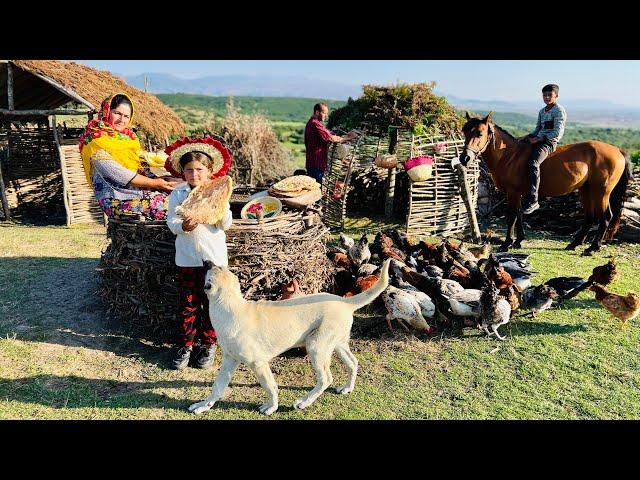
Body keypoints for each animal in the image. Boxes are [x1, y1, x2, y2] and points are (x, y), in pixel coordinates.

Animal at [188, 256, 392, 414]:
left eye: (211, 269)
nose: (205, 260)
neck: (230, 306)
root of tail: (344, 302)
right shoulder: (230, 360)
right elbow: (217, 386)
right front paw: (204, 405)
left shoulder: (258, 363)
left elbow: (270, 386)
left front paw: (271, 407)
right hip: (337, 345)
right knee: (353, 363)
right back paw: (347, 388)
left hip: (316, 347)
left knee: (326, 378)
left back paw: (303, 402)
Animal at [458, 112, 632, 255]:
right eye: (465, 132)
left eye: (480, 133)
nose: (464, 158)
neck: (509, 155)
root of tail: (618, 151)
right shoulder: (517, 194)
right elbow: (519, 215)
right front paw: (518, 241)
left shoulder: (512, 193)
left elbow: (512, 216)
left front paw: (507, 243)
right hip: (586, 191)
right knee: (590, 217)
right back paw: (574, 244)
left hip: (601, 192)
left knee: (605, 217)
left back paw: (592, 248)